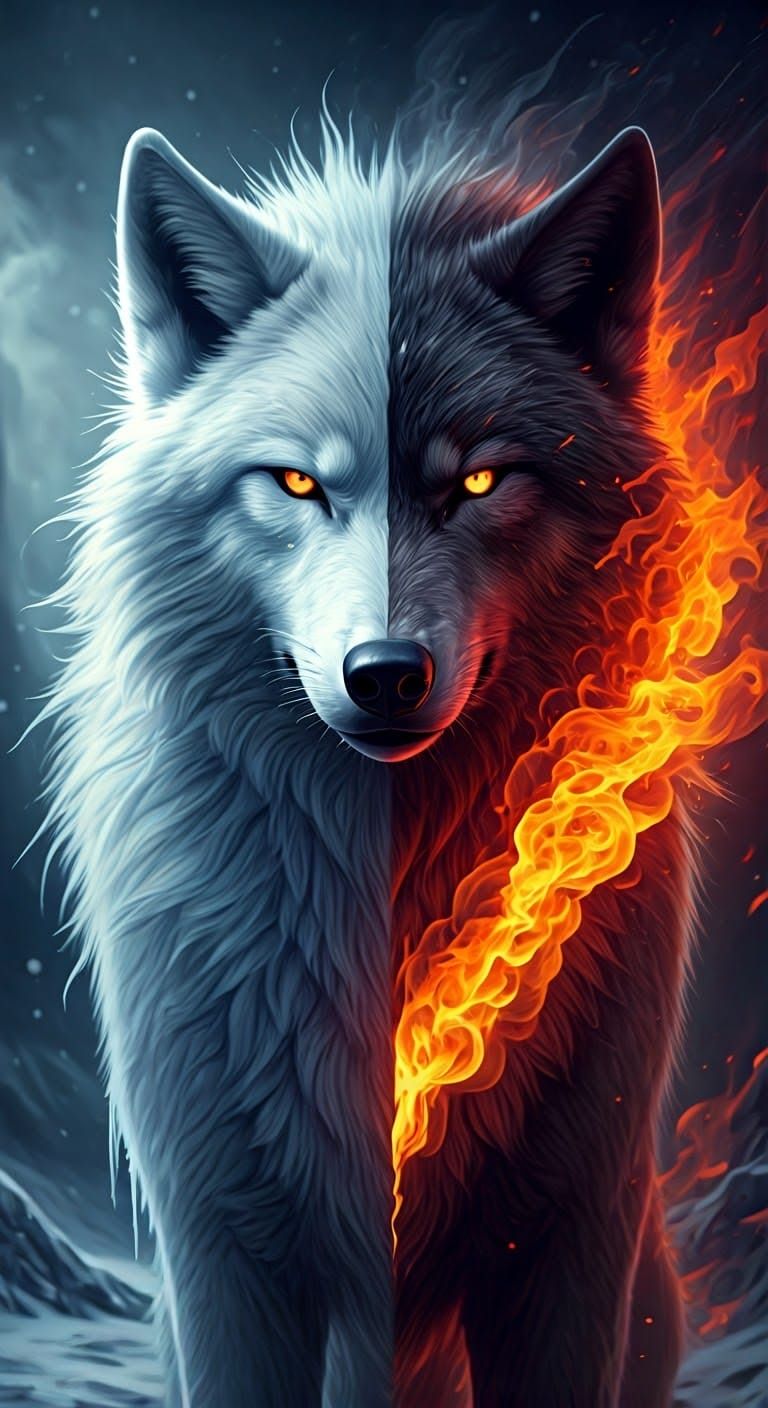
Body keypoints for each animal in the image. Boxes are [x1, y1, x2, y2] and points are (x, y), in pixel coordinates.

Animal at [44, 113, 691, 1407]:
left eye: (480, 478)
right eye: (297, 481)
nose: (385, 673)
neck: (391, 905)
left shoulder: (565, 1243)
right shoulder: (226, 1255)